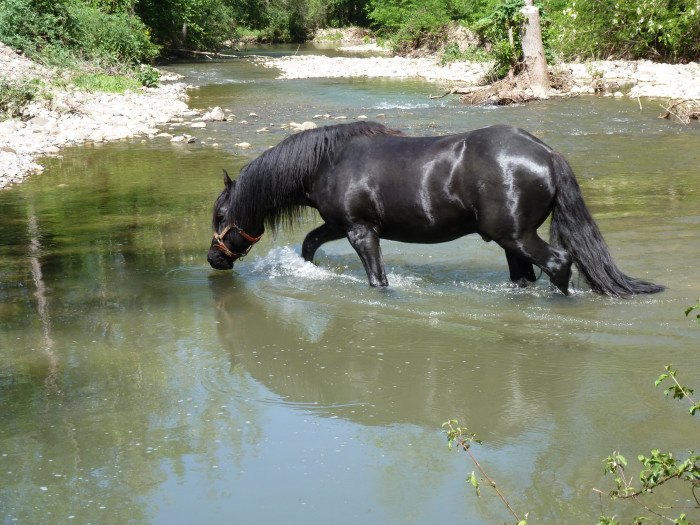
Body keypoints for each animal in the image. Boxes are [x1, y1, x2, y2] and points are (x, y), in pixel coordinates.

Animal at [206, 120, 660, 296]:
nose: (214, 258)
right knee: (525, 277)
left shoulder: (360, 232)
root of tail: (547, 153)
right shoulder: (340, 225)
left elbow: (378, 280)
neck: (329, 162)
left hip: (516, 236)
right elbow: (308, 244)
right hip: (511, 242)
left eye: (221, 217)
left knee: (560, 264)